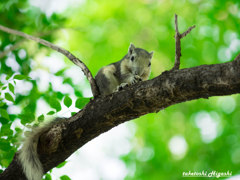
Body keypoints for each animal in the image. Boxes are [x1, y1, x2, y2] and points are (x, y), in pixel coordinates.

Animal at [16, 42, 153, 180]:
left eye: (149, 64)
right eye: (132, 58)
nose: (138, 72)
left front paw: (140, 79)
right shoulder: (121, 69)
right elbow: (125, 76)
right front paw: (131, 79)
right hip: (106, 77)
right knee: (109, 91)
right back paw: (119, 88)